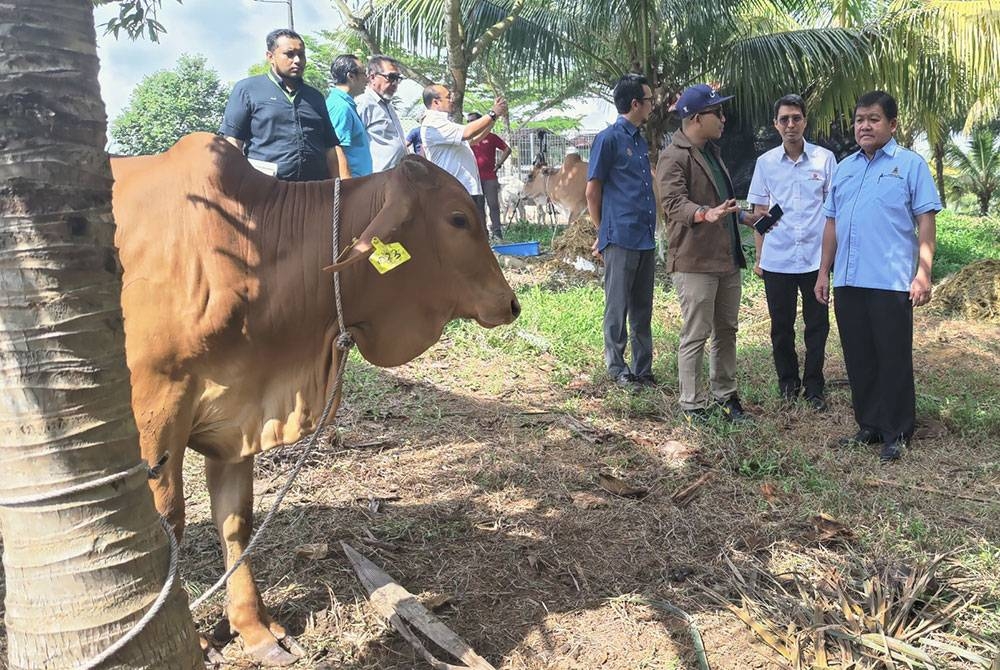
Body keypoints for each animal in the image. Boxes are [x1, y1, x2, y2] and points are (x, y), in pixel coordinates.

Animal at [110, 134, 520, 668]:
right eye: (457, 219)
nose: (511, 303)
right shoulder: (154, 408)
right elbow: (168, 525)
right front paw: (190, 639)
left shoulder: (238, 419)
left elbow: (236, 522)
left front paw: (254, 629)